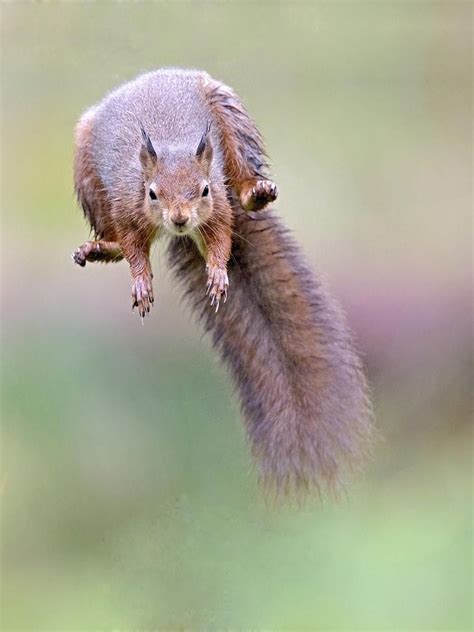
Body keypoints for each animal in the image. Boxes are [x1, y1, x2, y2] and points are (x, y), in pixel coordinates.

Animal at [72, 68, 374, 494]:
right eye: (152, 193)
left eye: (202, 189)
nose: (180, 218)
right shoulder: (126, 207)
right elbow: (132, 249)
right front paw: (142, 283)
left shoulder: (217, 206)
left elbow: (220, 238)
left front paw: (217, 272)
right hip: (86, 173)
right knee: (112, 239)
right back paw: (100, 248)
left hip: (232, 118)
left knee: (243, 181)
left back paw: (255, 191)